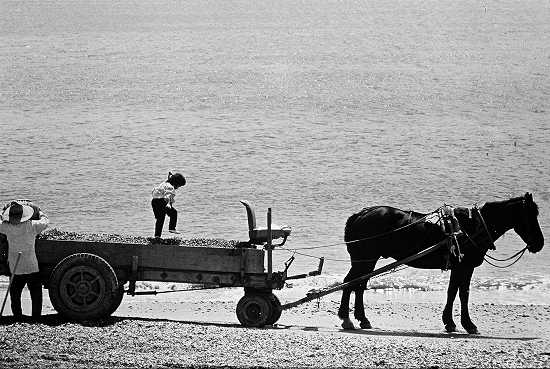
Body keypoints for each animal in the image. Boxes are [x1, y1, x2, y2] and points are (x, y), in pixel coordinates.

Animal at [338, 193, 544, 334]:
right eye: (530, 216)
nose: (540, 243)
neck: (472, 227)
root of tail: (360, 214)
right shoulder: (464, 266)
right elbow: (462, 294)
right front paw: (465, 324)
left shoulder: (460, 267)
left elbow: (454, 292)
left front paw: (451, 322)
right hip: (364, 261)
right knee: (350, 283)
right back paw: (347, 318)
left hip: (367, 262)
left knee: (358, 285)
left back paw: (362, 319)